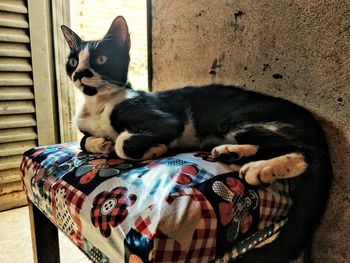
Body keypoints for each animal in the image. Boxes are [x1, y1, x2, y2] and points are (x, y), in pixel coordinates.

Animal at [61, 16, 332, 263]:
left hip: (239, 119)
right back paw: (231, 152)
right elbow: (84, 140)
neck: (98, 103)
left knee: (305, 152)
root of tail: (311, 120)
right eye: (73, 61)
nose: (80, 73)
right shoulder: (87, 127)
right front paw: (101, 143)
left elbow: (123, 142)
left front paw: (153, 148)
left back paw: (261, 168)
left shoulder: (166, 120)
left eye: (101, 59)